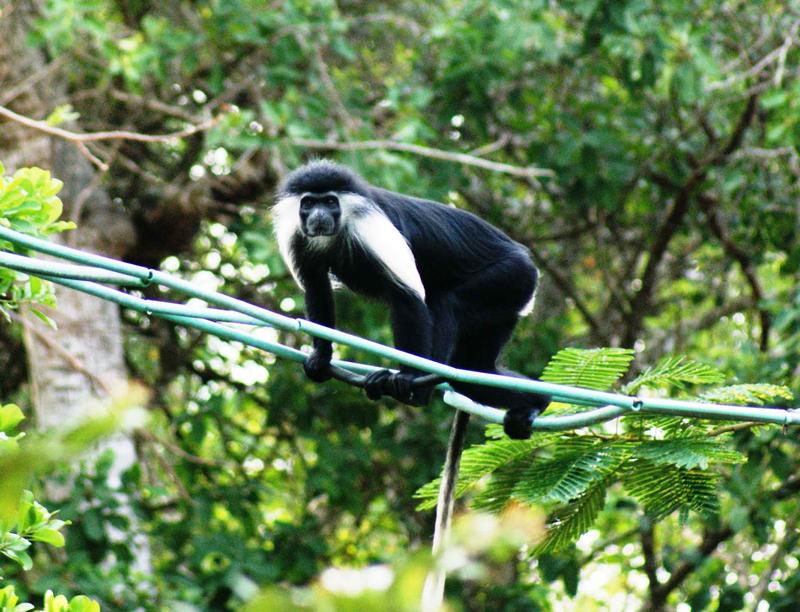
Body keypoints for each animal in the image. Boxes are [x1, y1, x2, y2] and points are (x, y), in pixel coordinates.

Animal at [276, 160, 552, 438]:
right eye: (309, 203)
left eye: (330, 201)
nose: (319, 215)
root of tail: (526, 262)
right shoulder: (299, 238)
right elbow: (316, 287)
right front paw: (321, 358)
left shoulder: (370, 229)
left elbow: (407, 298)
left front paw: (408, 378)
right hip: (503, 311)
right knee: (472, 371)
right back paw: (534, 404)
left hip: (509, 278)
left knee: (447, 305)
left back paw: (420, 389)